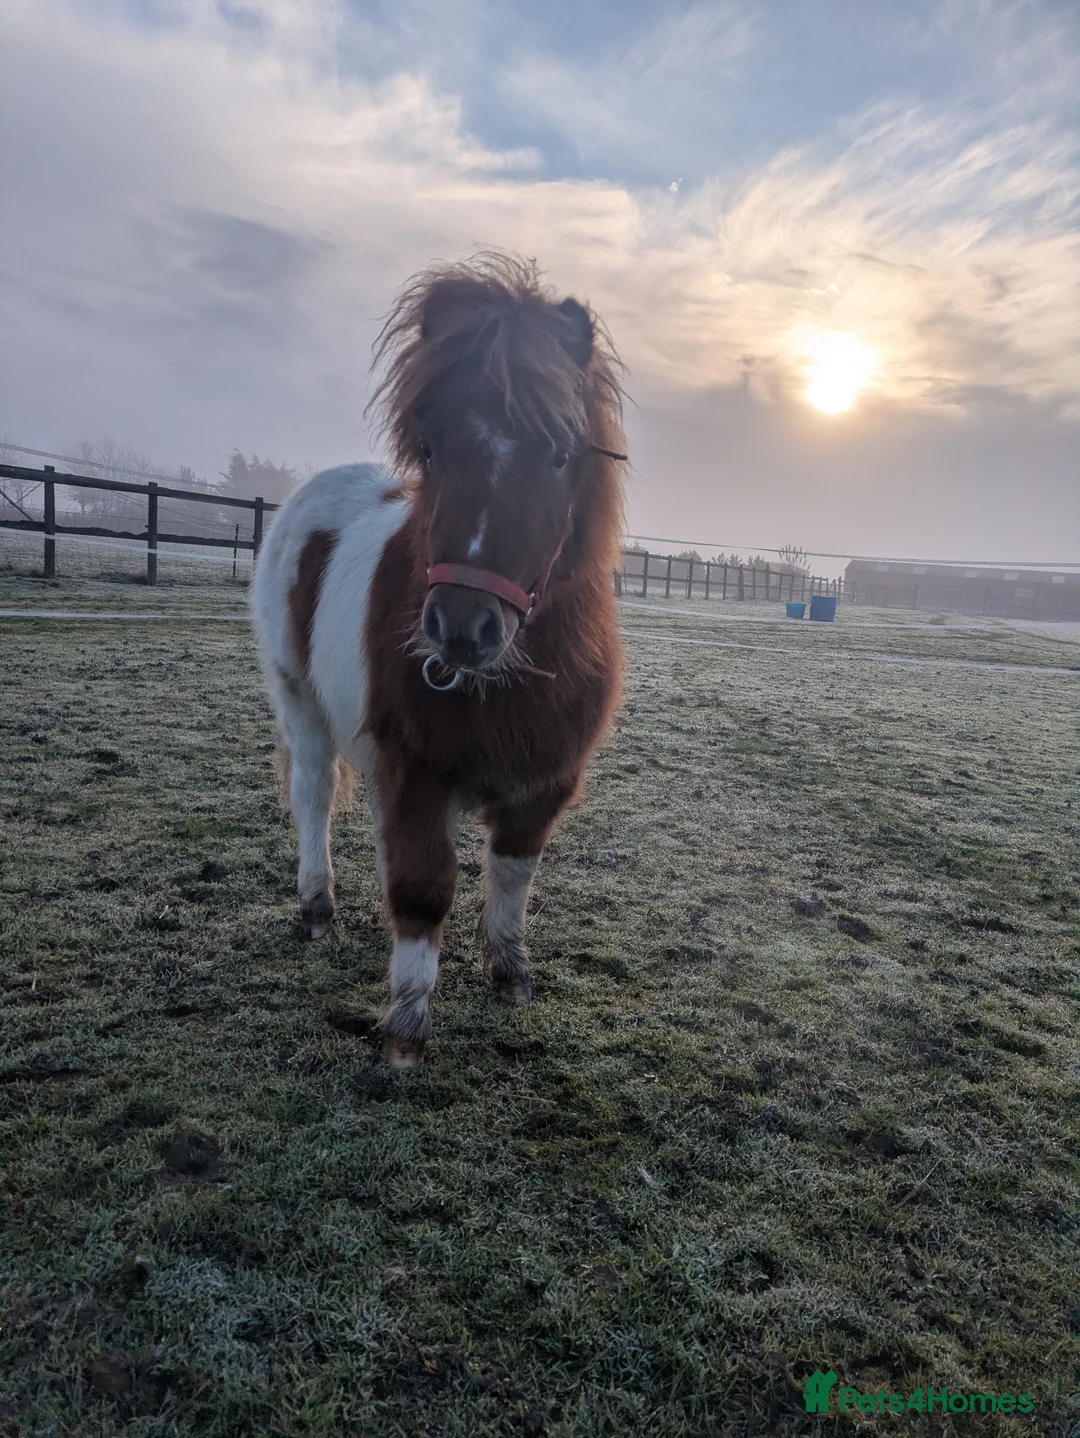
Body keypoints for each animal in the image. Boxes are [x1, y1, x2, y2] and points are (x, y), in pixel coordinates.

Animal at [251, 251, 627, 1067]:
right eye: (430, 449)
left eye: (560, 454)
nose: (461, 627)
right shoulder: (418, 774)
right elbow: (424, 888)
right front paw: (405, 1029)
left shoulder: (543, 782)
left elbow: (512, 875)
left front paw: (509, 971)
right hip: (299, 702)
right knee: (312, 795)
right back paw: (317, 904)